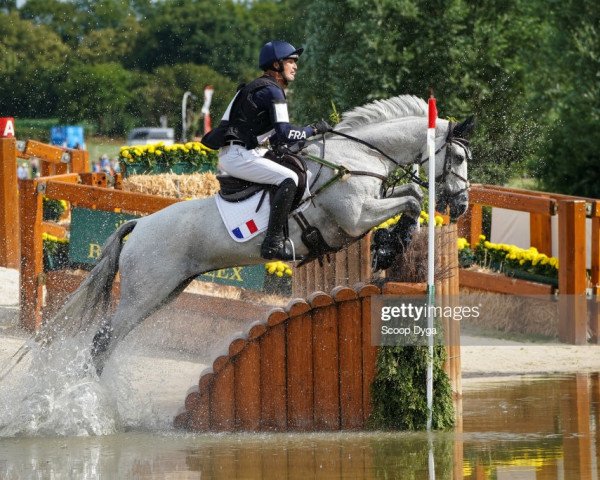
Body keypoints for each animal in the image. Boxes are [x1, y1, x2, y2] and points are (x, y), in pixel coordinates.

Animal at [19, 95, 474, 376]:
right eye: (458, 157)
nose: (461, 206)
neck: (358, 156)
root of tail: (140, 225)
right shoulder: (354, 217)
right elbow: (412, 199)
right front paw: (389, 246)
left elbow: (411, 196)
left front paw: (392, 243)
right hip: (144, 293)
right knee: (103, 339)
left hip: (164, 292)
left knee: (111, 338)